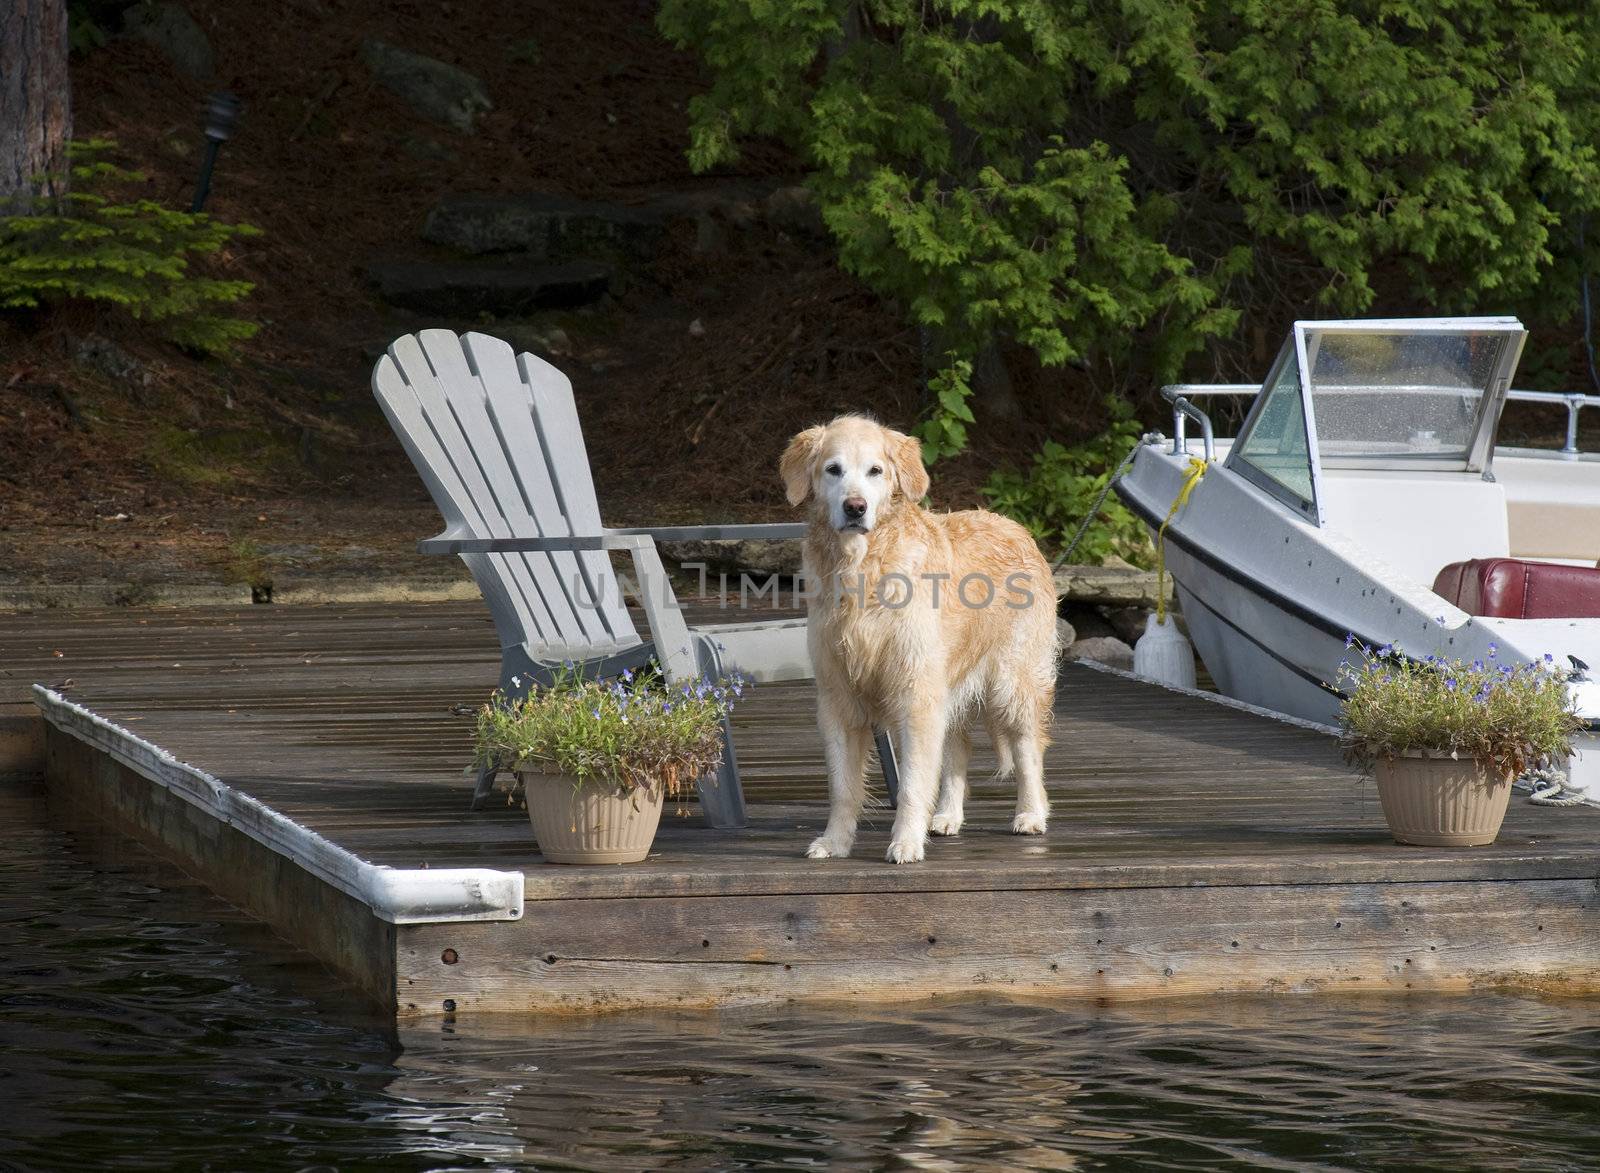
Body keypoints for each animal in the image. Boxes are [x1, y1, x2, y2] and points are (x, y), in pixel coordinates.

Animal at [777, 412, 1056, 857]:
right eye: (833, 469)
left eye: (875, 471)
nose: (855, 507)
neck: (862, 570)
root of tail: (1016, 528)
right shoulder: (838, 697)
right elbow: (843, 787)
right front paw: (835, 842)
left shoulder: (916, 692)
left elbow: (911, 783)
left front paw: (906, 842)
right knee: (958, 748)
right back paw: (947, 817)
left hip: (1013, 681)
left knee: (1027, 748)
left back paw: (1030, 815)